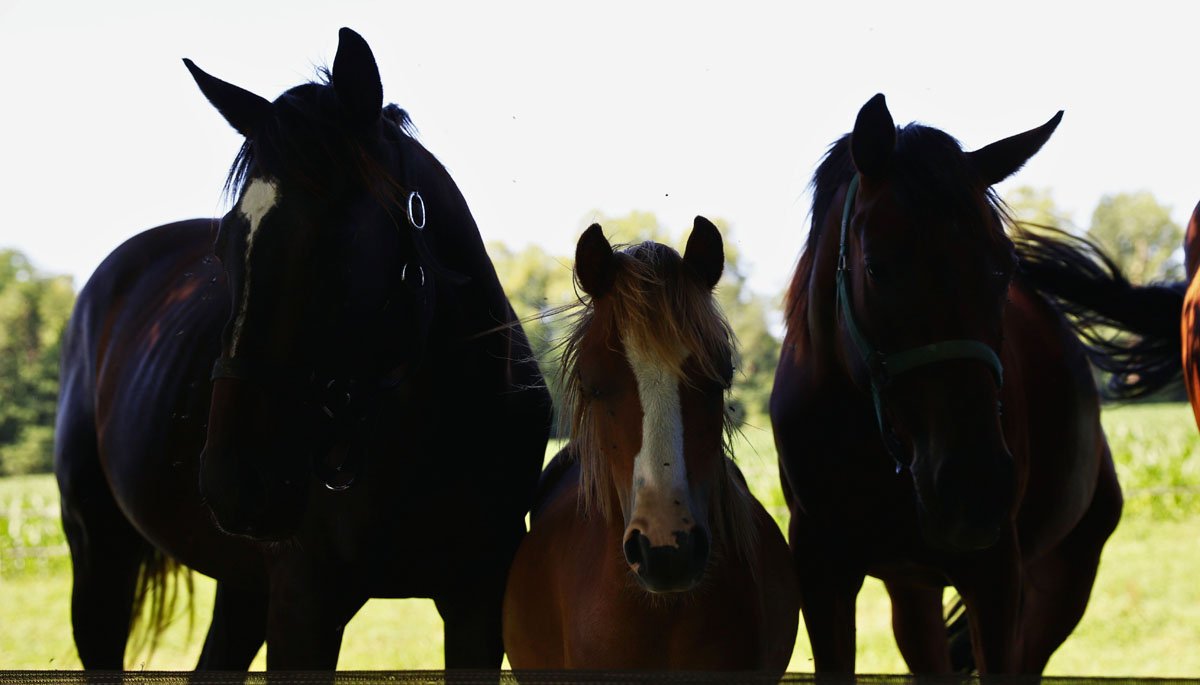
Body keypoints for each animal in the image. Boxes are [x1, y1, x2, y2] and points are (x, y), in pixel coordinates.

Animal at [54, 28, 551, 669]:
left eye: (338, 235)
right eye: (224, 243)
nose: (235, 482)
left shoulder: (476, 601)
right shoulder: (303, 605)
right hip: (98, 555)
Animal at [770, 94, 1123, 674]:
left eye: (1004, 268)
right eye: (876, 267)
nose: (972, 487)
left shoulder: (995, 575)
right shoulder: (821, 570)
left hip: (1065, 577)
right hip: (914, 589)